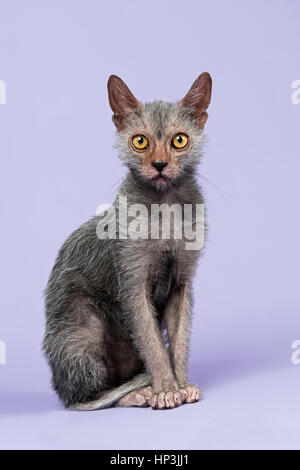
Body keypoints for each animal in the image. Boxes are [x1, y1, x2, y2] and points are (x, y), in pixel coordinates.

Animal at [43, 71, 212, 410]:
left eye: (179, 140)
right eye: (140, 141)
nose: (159, 164)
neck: (164, 208)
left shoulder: (182, 285)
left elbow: (179, 342)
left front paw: (182, 384)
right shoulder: (132, 284)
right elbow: (152, 342)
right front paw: (165, 390)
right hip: (81, 327)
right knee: (88, 397)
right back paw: (137, 393)